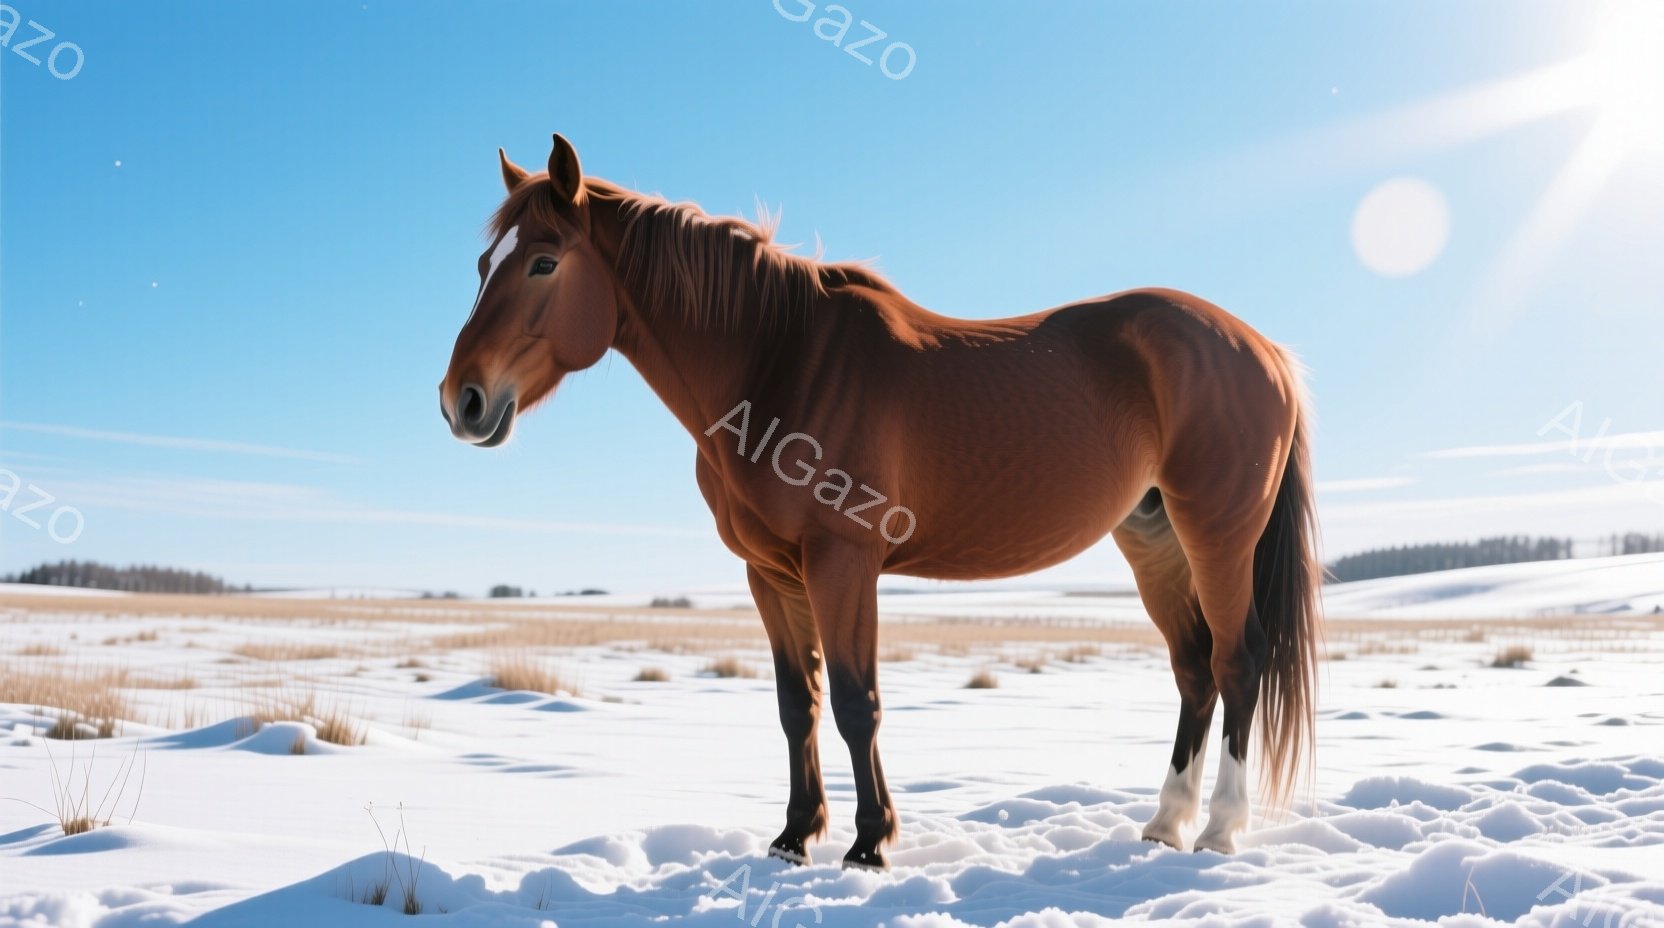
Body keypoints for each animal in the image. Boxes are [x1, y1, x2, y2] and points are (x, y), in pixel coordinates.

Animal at [439, 134, 1321, 870]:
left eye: (544, 262)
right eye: (483, 264)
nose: (462, 401)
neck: (777, 359)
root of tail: (1263, 348)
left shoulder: (843, 563)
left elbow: (856, 703)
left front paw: (868, 844)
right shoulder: (771, 575)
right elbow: (797, 705)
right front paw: (793, 838)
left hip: (1216, 536)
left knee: (1237, 661)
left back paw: (1218, 831)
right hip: (1152, 539)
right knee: (1193, 669)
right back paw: (1165, 824)